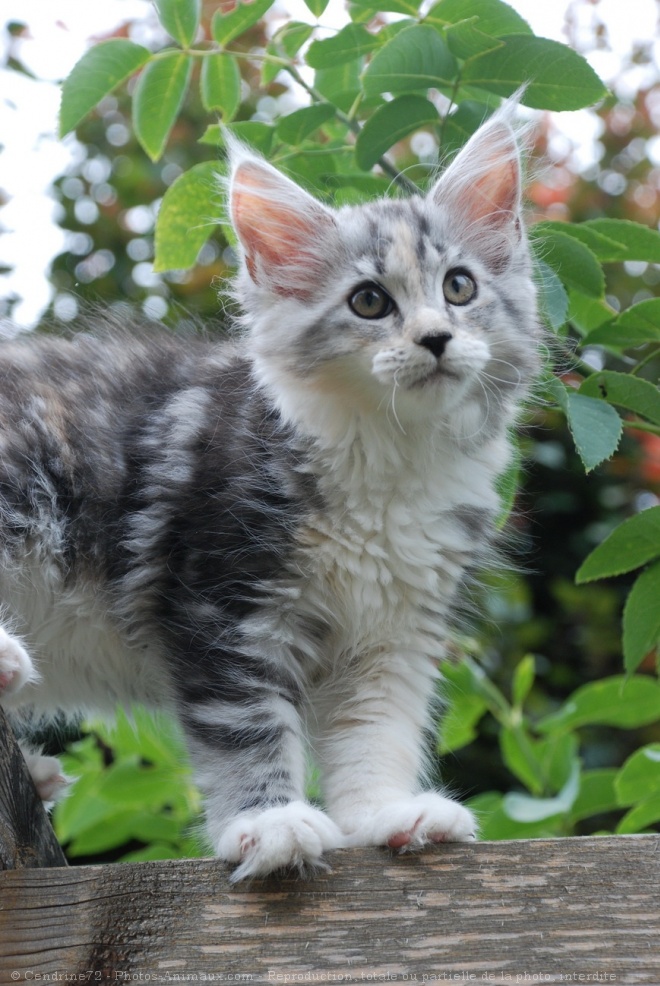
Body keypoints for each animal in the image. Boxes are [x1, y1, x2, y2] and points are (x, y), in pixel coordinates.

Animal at [0, 105, 540, 876]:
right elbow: (246, 731)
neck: (390, 461)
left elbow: (375, 734)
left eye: (459, 288)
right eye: (370, 302)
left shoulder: (394, 634)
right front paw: (270, 823)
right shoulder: (222, 603)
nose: (436, 338)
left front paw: (385, 814)